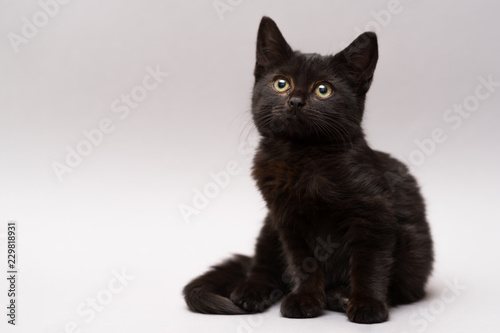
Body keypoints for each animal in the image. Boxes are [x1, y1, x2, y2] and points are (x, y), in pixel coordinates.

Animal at [184, 16, 434, 322]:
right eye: (281, 84)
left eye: (323, 90)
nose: (295, 101)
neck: (301, 157)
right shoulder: (286, 220)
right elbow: (302, 263)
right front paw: (304, 299)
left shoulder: (375, 216)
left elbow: (369, 263)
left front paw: (367, 304)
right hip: (268, 228)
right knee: (261, 266)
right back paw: (251, 291)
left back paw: (340, 295)